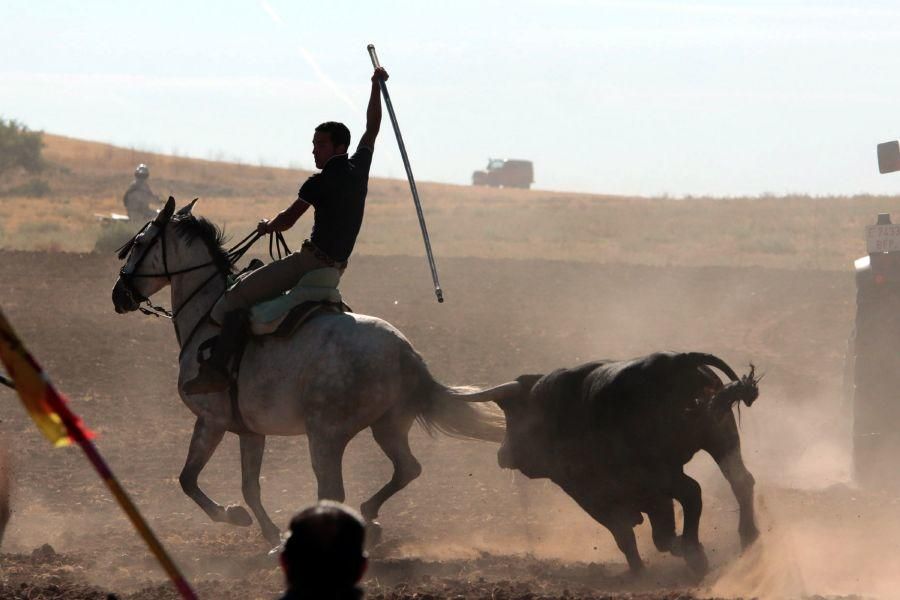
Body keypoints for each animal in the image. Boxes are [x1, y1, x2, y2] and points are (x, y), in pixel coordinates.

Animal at [110, 199, 512, 548]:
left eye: (140, 242)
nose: (118, 295)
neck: (208, 316)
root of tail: (405, 352)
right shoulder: (249, 430)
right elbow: (249, 487)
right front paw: (270, 533)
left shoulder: (211, 421)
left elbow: (188, 480)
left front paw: (234, 516)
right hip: (388, 425)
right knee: (406, 469)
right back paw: (369, 517)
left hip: (325, 435)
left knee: (333, 489)